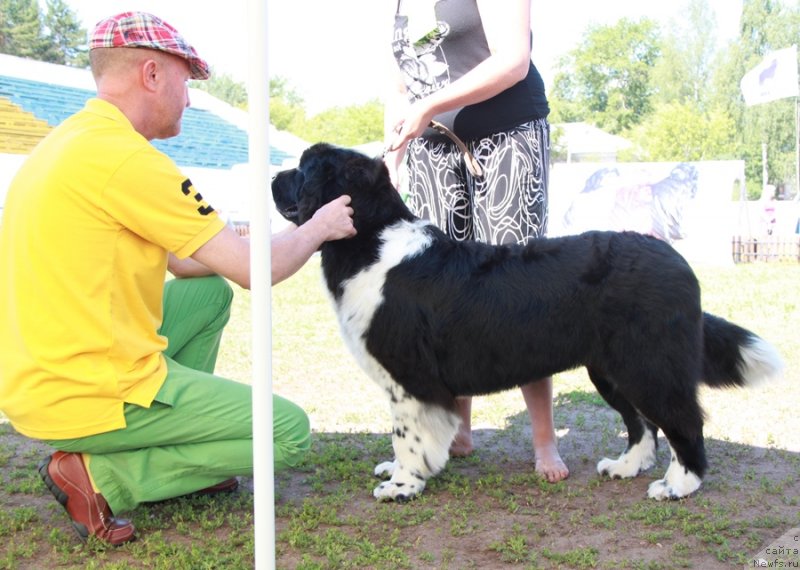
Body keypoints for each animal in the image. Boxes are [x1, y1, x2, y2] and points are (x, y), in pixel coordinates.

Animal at [272, 142, 784, 502]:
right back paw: (625, 466)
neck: (371, 239)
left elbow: (407, 437)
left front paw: (401, 485)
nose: (275, 175)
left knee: (683, 422)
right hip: (611, 370)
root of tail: (677, 260)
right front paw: (400, 472)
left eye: (302, 168)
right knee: (643, 424)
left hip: (648, 364)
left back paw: (678, 485)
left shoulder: (409, 380)